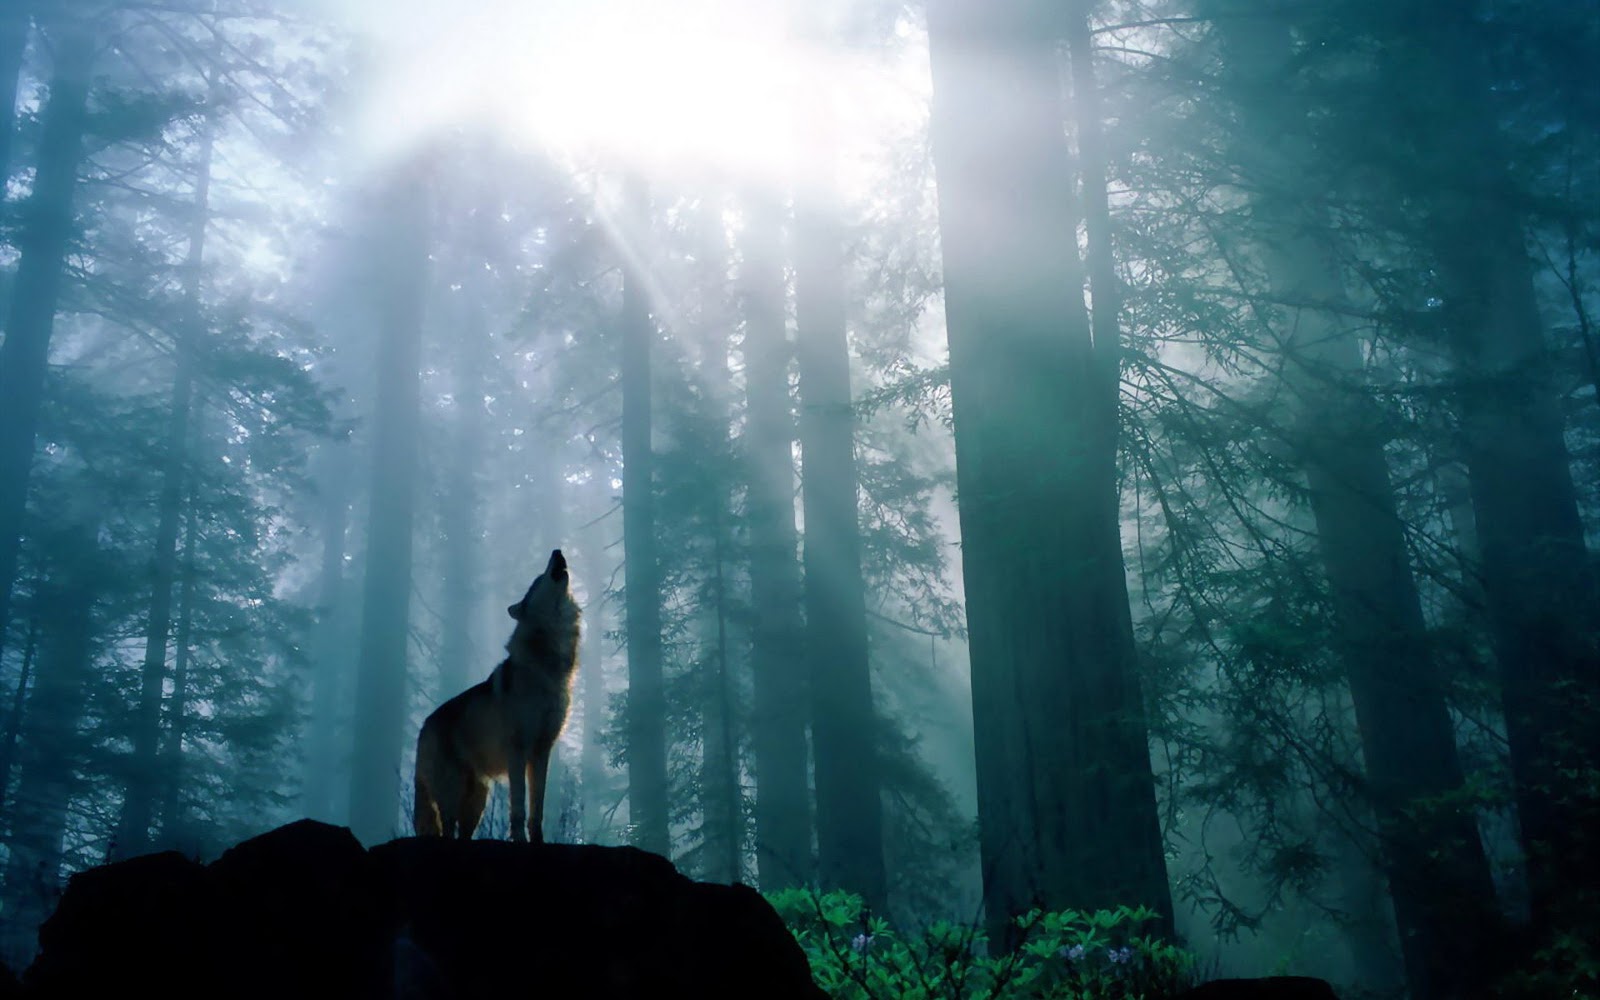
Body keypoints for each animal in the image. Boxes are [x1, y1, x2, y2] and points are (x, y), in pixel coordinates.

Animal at [412, 549, 582, 843]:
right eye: (538, 580)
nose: (557, 551)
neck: (547, 666)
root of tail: (424, 726)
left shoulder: (541, 751)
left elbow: (536, 810)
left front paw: (538, 841)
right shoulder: (518, 751)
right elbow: (519, 807)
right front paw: (520, 840)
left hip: (477, 801)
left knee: (462, 833)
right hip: (452, 794)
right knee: (447, 829)